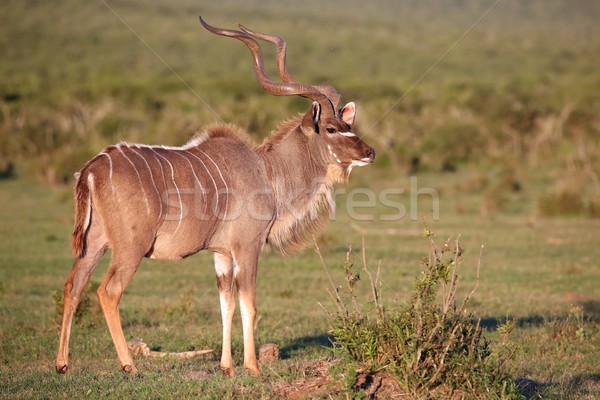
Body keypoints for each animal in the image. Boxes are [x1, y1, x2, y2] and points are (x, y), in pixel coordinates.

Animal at [56, 17, 376, 376]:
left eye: (347, 125)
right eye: (332, 129)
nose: (370, 152)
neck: (267, 170)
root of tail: (92, 167)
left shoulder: (221, 254)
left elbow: (226, 305)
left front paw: (227, 367)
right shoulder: (248, 247)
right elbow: (249, 304)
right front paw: (252, 367)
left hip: (95, 242)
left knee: (73, 285)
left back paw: (62, 364)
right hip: (130, 248)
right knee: (108, 291)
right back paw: (129, 365)